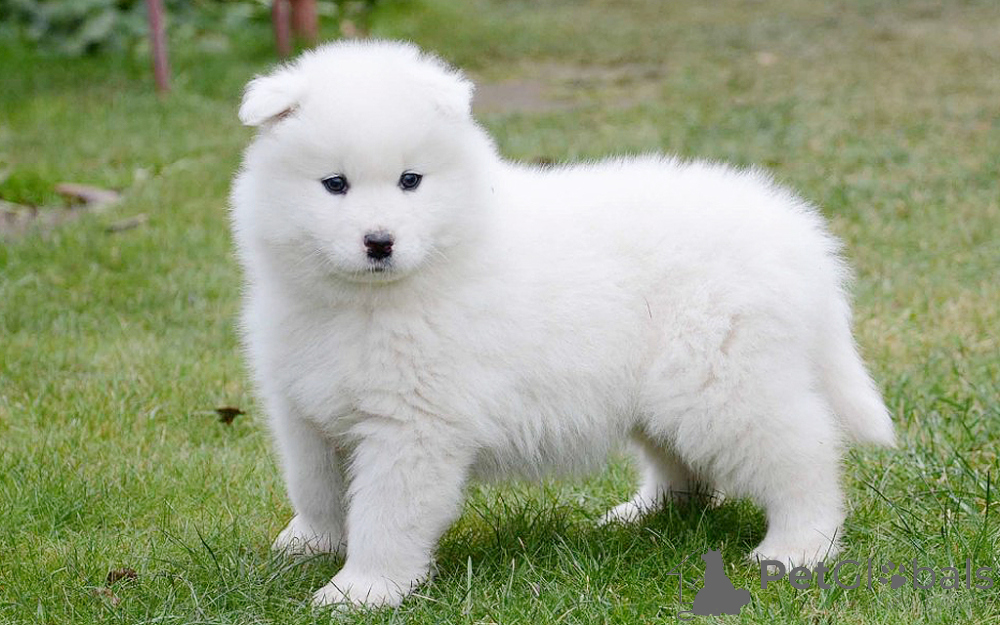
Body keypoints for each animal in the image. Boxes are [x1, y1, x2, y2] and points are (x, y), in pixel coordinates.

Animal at [230, 40, 895, 608]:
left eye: (410, 180)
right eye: (334, 184)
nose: (379, 242)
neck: (368, 301)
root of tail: (799, 237)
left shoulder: (413, 426)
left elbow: (384, 515)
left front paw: (362, 590)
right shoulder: (302, 411)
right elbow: (314, 487)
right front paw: (308, 545)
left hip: (723, 383)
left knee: (801, 455)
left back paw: (797, 549)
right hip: (663, 391)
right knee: (683, 466)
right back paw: (648, 514)